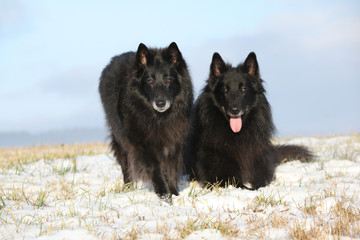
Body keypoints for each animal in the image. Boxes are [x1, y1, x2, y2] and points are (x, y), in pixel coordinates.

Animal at [97, 41, 194, 199]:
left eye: (168, 79)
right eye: (149, 81)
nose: (160, 103)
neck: (159, 118)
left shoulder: (173, 142)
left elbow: (171, 169)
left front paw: (174, 193)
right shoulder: (142, 144)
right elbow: (154, 168)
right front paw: (163, 193)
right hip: (119, 138)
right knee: (125, 166)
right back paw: (128, 187)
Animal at [186, 51, 312, 189]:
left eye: (243, 89)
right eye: (225, 90)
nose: (235, 110)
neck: (237, 135)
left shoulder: (261, 165)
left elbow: (261, 183)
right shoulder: (221, 177)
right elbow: (241, 185)